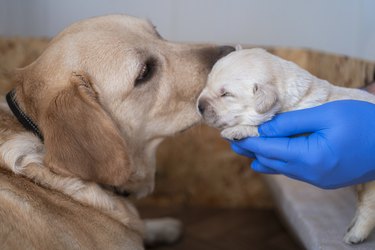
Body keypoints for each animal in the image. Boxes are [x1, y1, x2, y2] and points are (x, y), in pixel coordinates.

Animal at [200, 47, 375, 244]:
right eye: (208, 82)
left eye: (226, 94)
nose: (199, 106)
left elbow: (263, 127)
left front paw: (237, 130)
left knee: (369, 209)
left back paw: (355, 235)